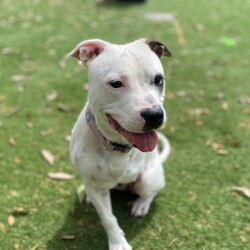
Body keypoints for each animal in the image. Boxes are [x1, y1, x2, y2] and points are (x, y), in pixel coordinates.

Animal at [70, 38, 172, 249]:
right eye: (116, 84)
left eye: (158, 79)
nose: (154, 115)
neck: (114, 145)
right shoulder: (94, 186)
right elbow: (108, 218)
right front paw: (118, 242)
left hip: (147, 180)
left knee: (149, 193)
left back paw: (141, 204)